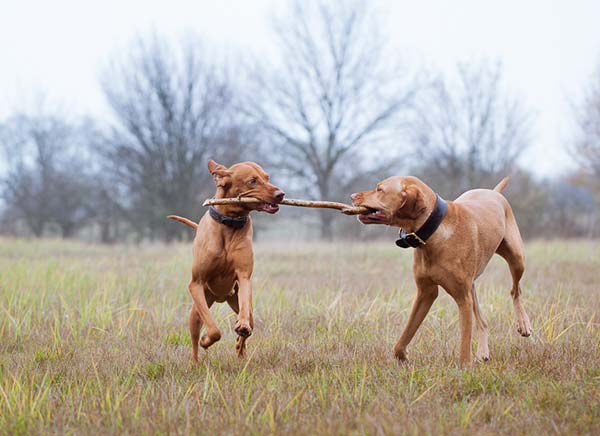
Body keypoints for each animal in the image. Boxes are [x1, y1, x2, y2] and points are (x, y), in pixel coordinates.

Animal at [166, 159, 284, 358]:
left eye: (267, 177)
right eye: (252, 181)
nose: (281, 194)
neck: (230, 224)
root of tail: (220, 297)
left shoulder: (244, 276)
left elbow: (244, 317)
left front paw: (241, 328)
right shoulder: (196, 284)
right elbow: (214, 330)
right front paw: (206, 340)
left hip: (236, 300)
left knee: (249, 325)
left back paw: (241, 347)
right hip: (197, 309)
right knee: (195, 340)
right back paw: (195, 359)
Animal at [350, 175, 532, 366]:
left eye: (380, 189)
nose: (352, 196)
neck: (434, 232)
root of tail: (493, 192)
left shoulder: (462, 299)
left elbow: (464, 345)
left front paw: (464, 368)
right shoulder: (426, 293)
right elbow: (403, 338)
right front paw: (403, 357)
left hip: (517, 259)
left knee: (515, 290)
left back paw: (523, 323)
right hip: (472, 286)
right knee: (482, 321)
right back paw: (483, 351)